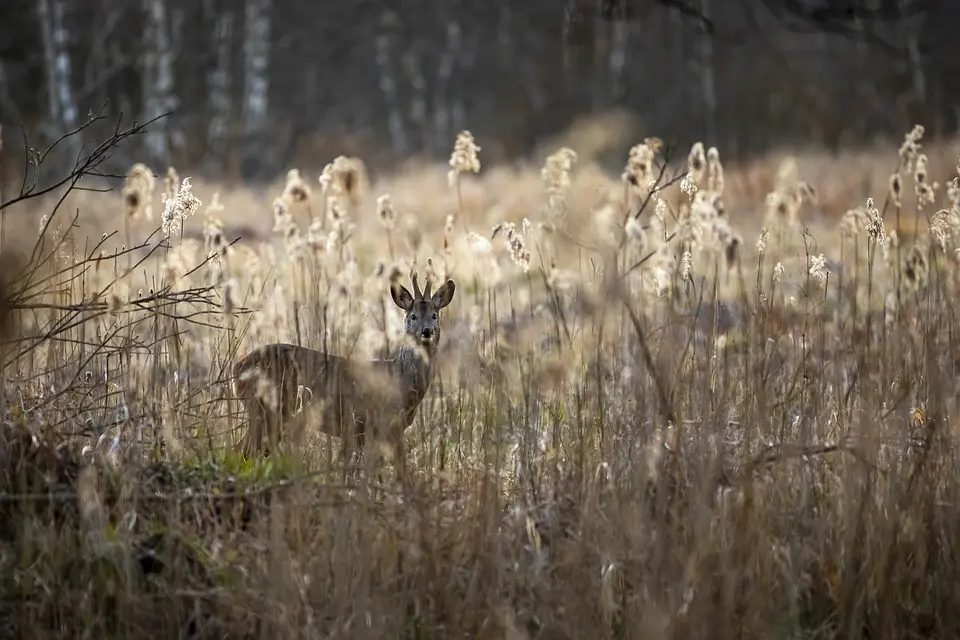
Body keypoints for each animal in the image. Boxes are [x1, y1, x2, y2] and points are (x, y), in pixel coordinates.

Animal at [233, 272, 458, 478]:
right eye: (413, 316)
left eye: (434, 315)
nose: (427, 331)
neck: (400, 379)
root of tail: (237, 368)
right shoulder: (374, 422)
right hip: (266, 409)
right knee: (243, 452)